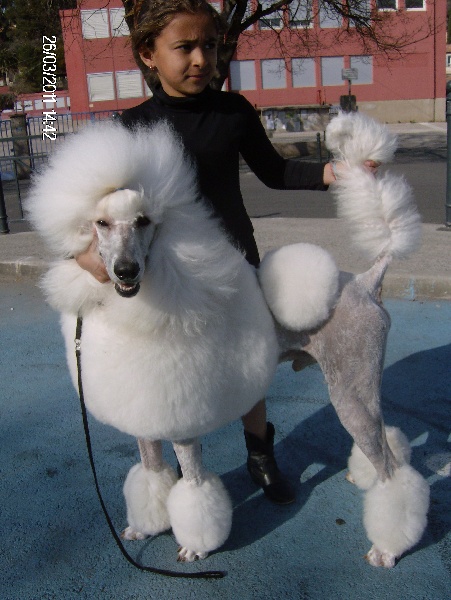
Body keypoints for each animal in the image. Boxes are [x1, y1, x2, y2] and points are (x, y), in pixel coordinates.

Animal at [27, 112, 429, 568]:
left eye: (145, 222)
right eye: (101, 224)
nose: (126, 270)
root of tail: (366, 281)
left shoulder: (182, 425)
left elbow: (193, 488)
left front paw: (195, 545)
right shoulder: (144, 420)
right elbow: (151, 475)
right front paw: (145, 527)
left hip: (352, 391)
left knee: (390, 468)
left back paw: (388, 545)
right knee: (388, 444)